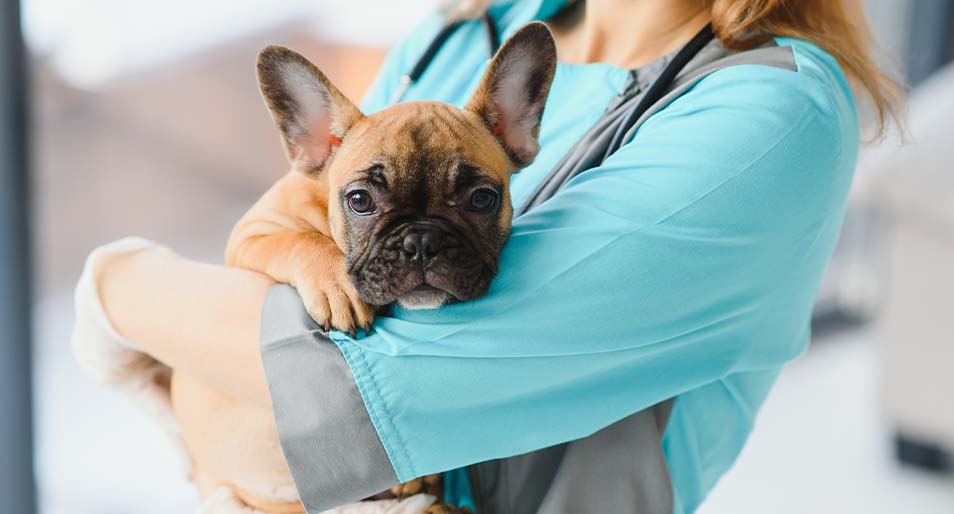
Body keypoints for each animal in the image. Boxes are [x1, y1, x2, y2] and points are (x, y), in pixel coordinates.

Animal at [171, 22, 556, 512]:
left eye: (482, 199)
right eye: (359, 200)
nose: (421, 240)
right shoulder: (251, 234)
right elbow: (300, 239)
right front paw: (337, 285)